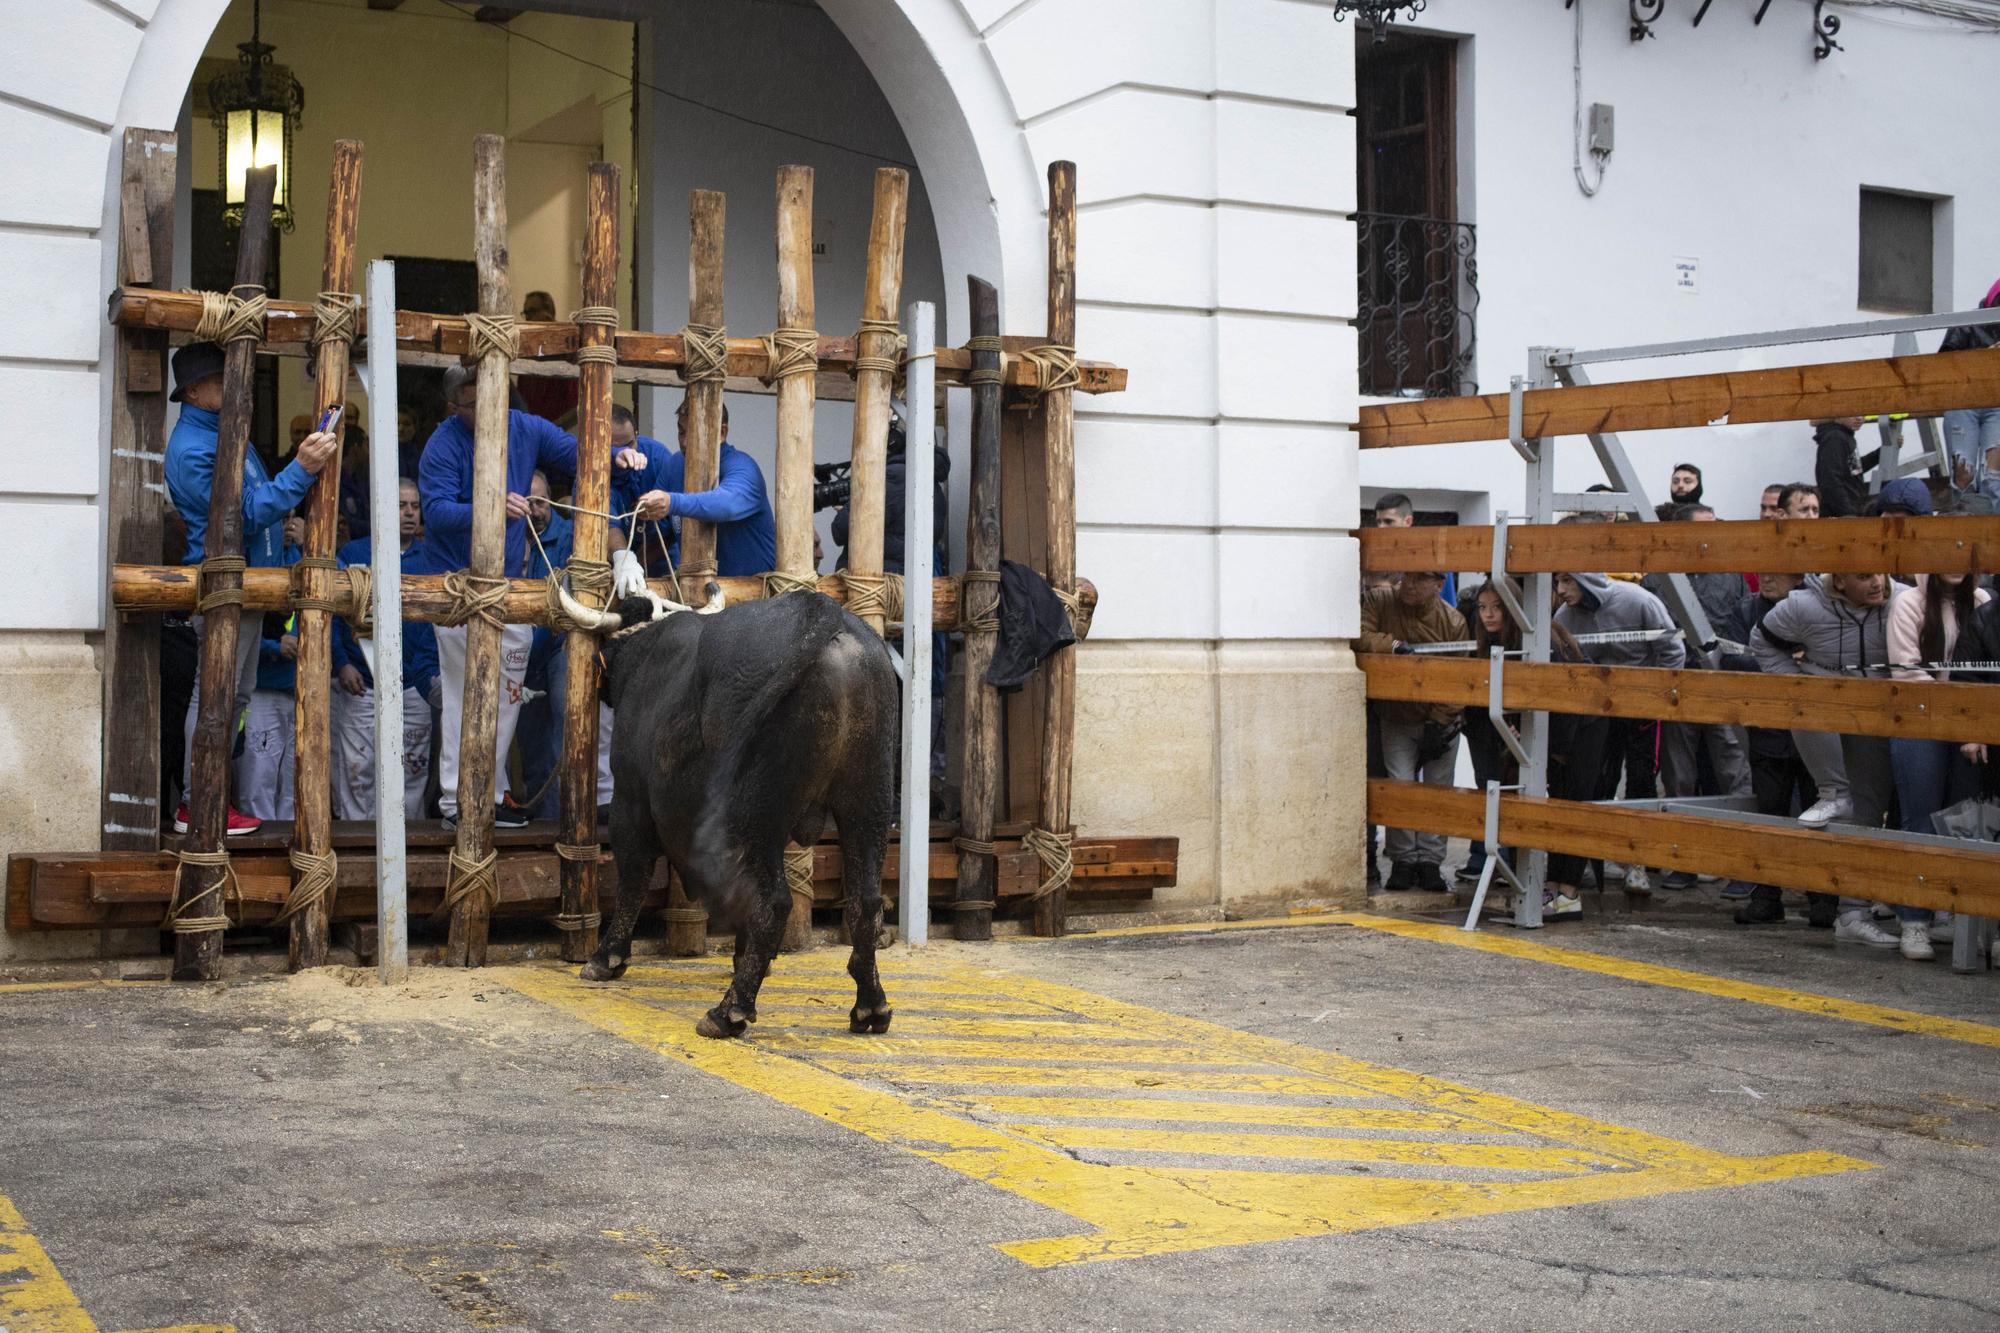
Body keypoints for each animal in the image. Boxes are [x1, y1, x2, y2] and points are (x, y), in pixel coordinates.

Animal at [576, 592, 896, 1040]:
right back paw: (870, 1006)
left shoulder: (630, 798)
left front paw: (606, 958)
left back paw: (729, 1010)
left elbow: (633, 877)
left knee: (775, 902)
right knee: (864, 901)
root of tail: (820, 611)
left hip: (757, 811)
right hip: (867, 801)